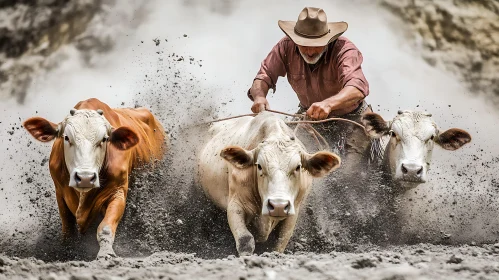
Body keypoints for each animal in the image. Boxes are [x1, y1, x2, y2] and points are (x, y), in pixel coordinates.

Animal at [23, 99, 166, 260]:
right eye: (66, 137)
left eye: (104, 139)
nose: (85, 178)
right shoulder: (60, 192)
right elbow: (68, 229)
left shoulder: (118, 192)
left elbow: (105, 227)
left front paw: (106, 253)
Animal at [197, 111, 342, 256]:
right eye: (259, 166)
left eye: (298, 167)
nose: (278, 206)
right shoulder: (235, 205)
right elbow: (245, 240)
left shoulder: (293, 212)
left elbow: (279, 243)